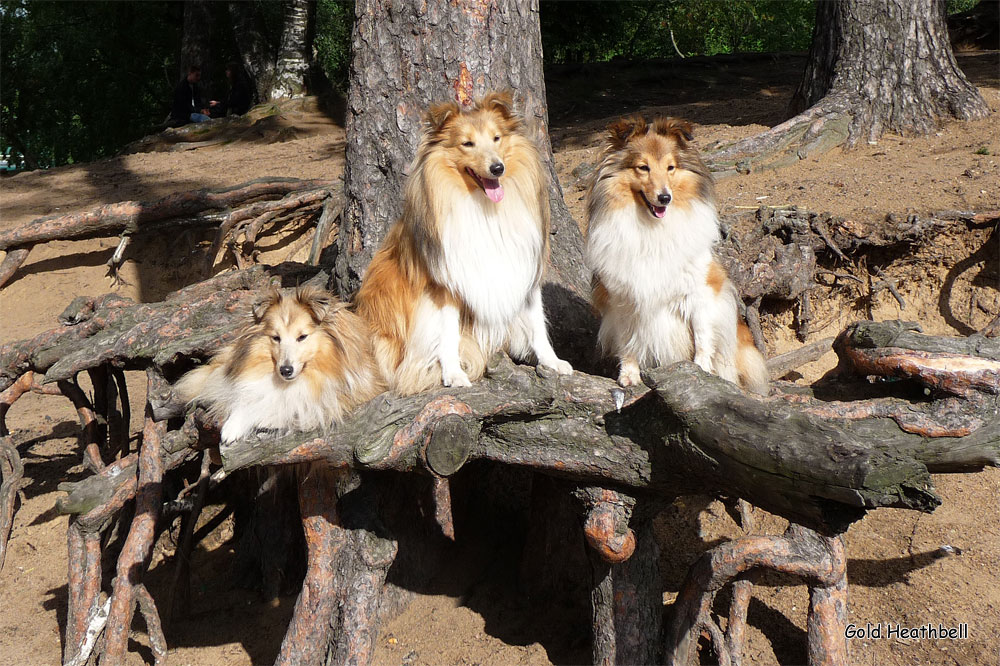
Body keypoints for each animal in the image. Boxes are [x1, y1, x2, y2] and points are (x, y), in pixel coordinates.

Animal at [176, 282, 382, 438]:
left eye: (302, 337)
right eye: (276, 338)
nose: (285, 370)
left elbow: (286, 409)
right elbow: (248, 397)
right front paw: (231, 428)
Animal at [354, 87, 572, 390]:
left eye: (496, 138)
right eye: (467, 144)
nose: (497, 168)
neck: (485, 207)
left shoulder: (524, 264)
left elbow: (536, 321)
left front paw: (552, 361)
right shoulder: (445, 282)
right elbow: (448, 334)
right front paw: (453, 373)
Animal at [584, 115, 768, 392]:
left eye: (670, 167)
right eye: (643, 167)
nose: (664, 198)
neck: (654, 229)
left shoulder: (702, 291)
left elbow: (702, 337)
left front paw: (702, 372)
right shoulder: (623, 297)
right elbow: (628, 340)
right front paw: (629, 375)